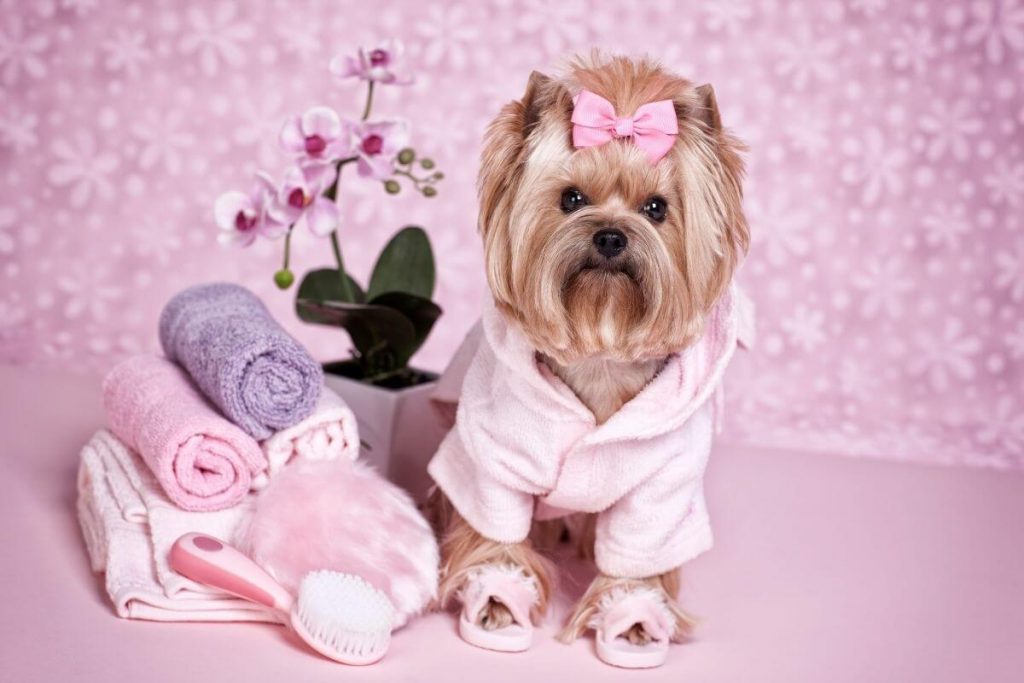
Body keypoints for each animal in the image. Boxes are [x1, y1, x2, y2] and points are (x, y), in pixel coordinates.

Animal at [428, 54, 749, 667]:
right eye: (571, 199)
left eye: (657, 208)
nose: (610, 236)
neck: (601, 345)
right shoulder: (494, 458)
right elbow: (496, 527)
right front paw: (497, 598)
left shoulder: (660, 491)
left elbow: (638, 551)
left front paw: (633, 617)